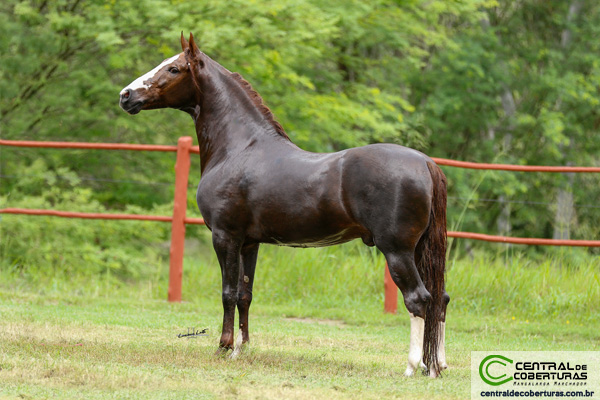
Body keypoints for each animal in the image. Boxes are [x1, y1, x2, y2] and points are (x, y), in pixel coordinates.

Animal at [118, 32, 450, 376]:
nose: (125, 96)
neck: (239, 148)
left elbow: (227, 293)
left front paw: (223, 347)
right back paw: (436, 365)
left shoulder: (225, 237)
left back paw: (412, 366)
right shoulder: (249, 243)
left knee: (418, 299)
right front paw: (241, 349)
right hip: (419, 250)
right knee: (440, 299)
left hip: (397, 251)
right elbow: (245, 294)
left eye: (174, 69)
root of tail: (426, 163)